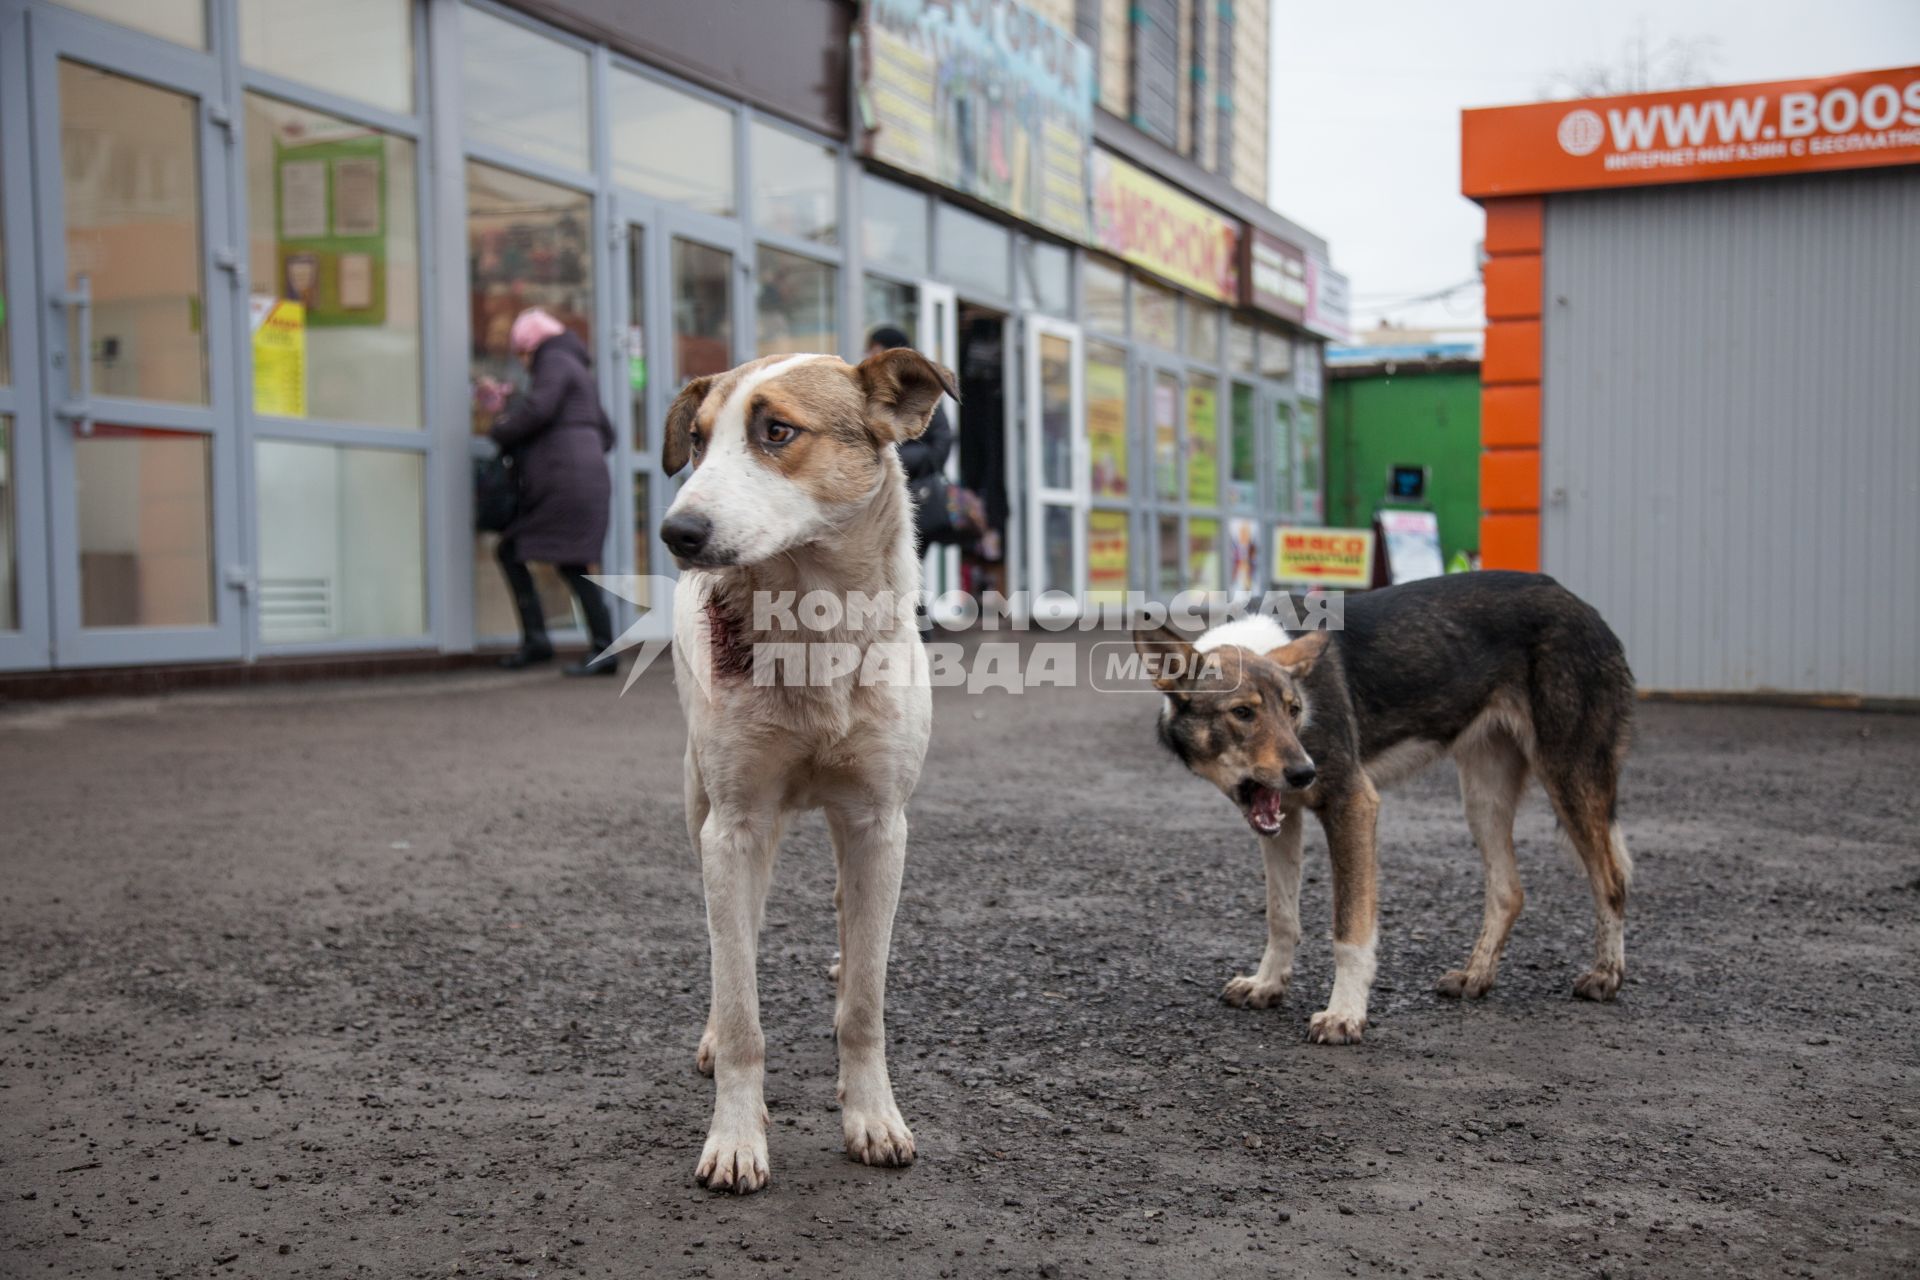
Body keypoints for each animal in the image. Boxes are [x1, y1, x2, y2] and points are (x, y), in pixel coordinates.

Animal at [660, 347, 960, 1189]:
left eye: (777, 431)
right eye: (695, 440)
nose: (675, 530)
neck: (810, 621)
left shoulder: (878, 822)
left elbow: (867, 1002)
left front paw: (872, 1117)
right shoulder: (733, 827)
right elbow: (740, 1005)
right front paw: (735, 1137)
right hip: (701, 802)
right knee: (733, 935)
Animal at [1136, 575, 1635, 1043]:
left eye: (1294, 710)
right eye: (1242, 713)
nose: (1304, 773)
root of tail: (1578, 602)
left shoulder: (1354, 804)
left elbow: (1349, 930)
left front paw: (1344, 1014)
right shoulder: (1282, 817)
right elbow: (1281, 916)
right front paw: (1267, 983)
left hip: (1570, 776)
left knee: (1611, 879)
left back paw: (1605, 976)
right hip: (1483, 797)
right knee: (1509, 891)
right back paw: (1476, 975)